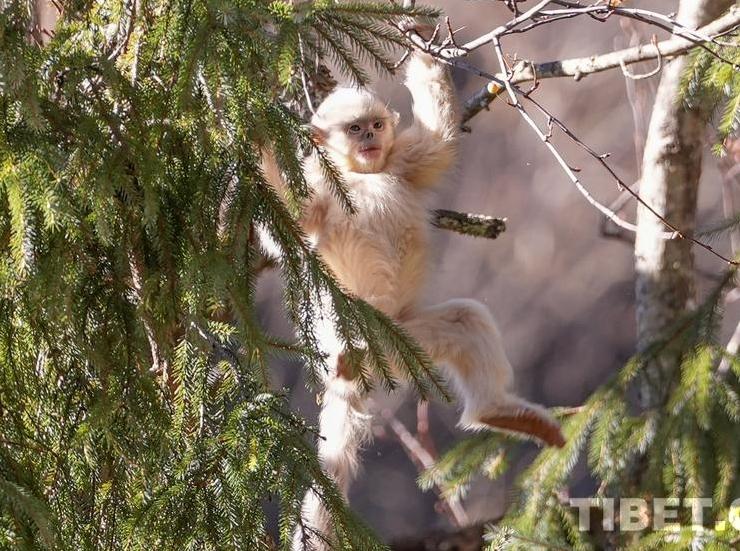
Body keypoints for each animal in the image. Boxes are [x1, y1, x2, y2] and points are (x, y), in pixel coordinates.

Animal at [262, 23, 568, 548]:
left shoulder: (402, 159)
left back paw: (497, 413)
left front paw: (420, 39)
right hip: (369, 335)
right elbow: (285, 227)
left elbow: (440, 139)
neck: (360, 175)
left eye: (375, 126)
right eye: (354, 129)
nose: (370, 137)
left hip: (406, 341)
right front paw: (253, 138)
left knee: (466, 321)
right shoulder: (318, 187)